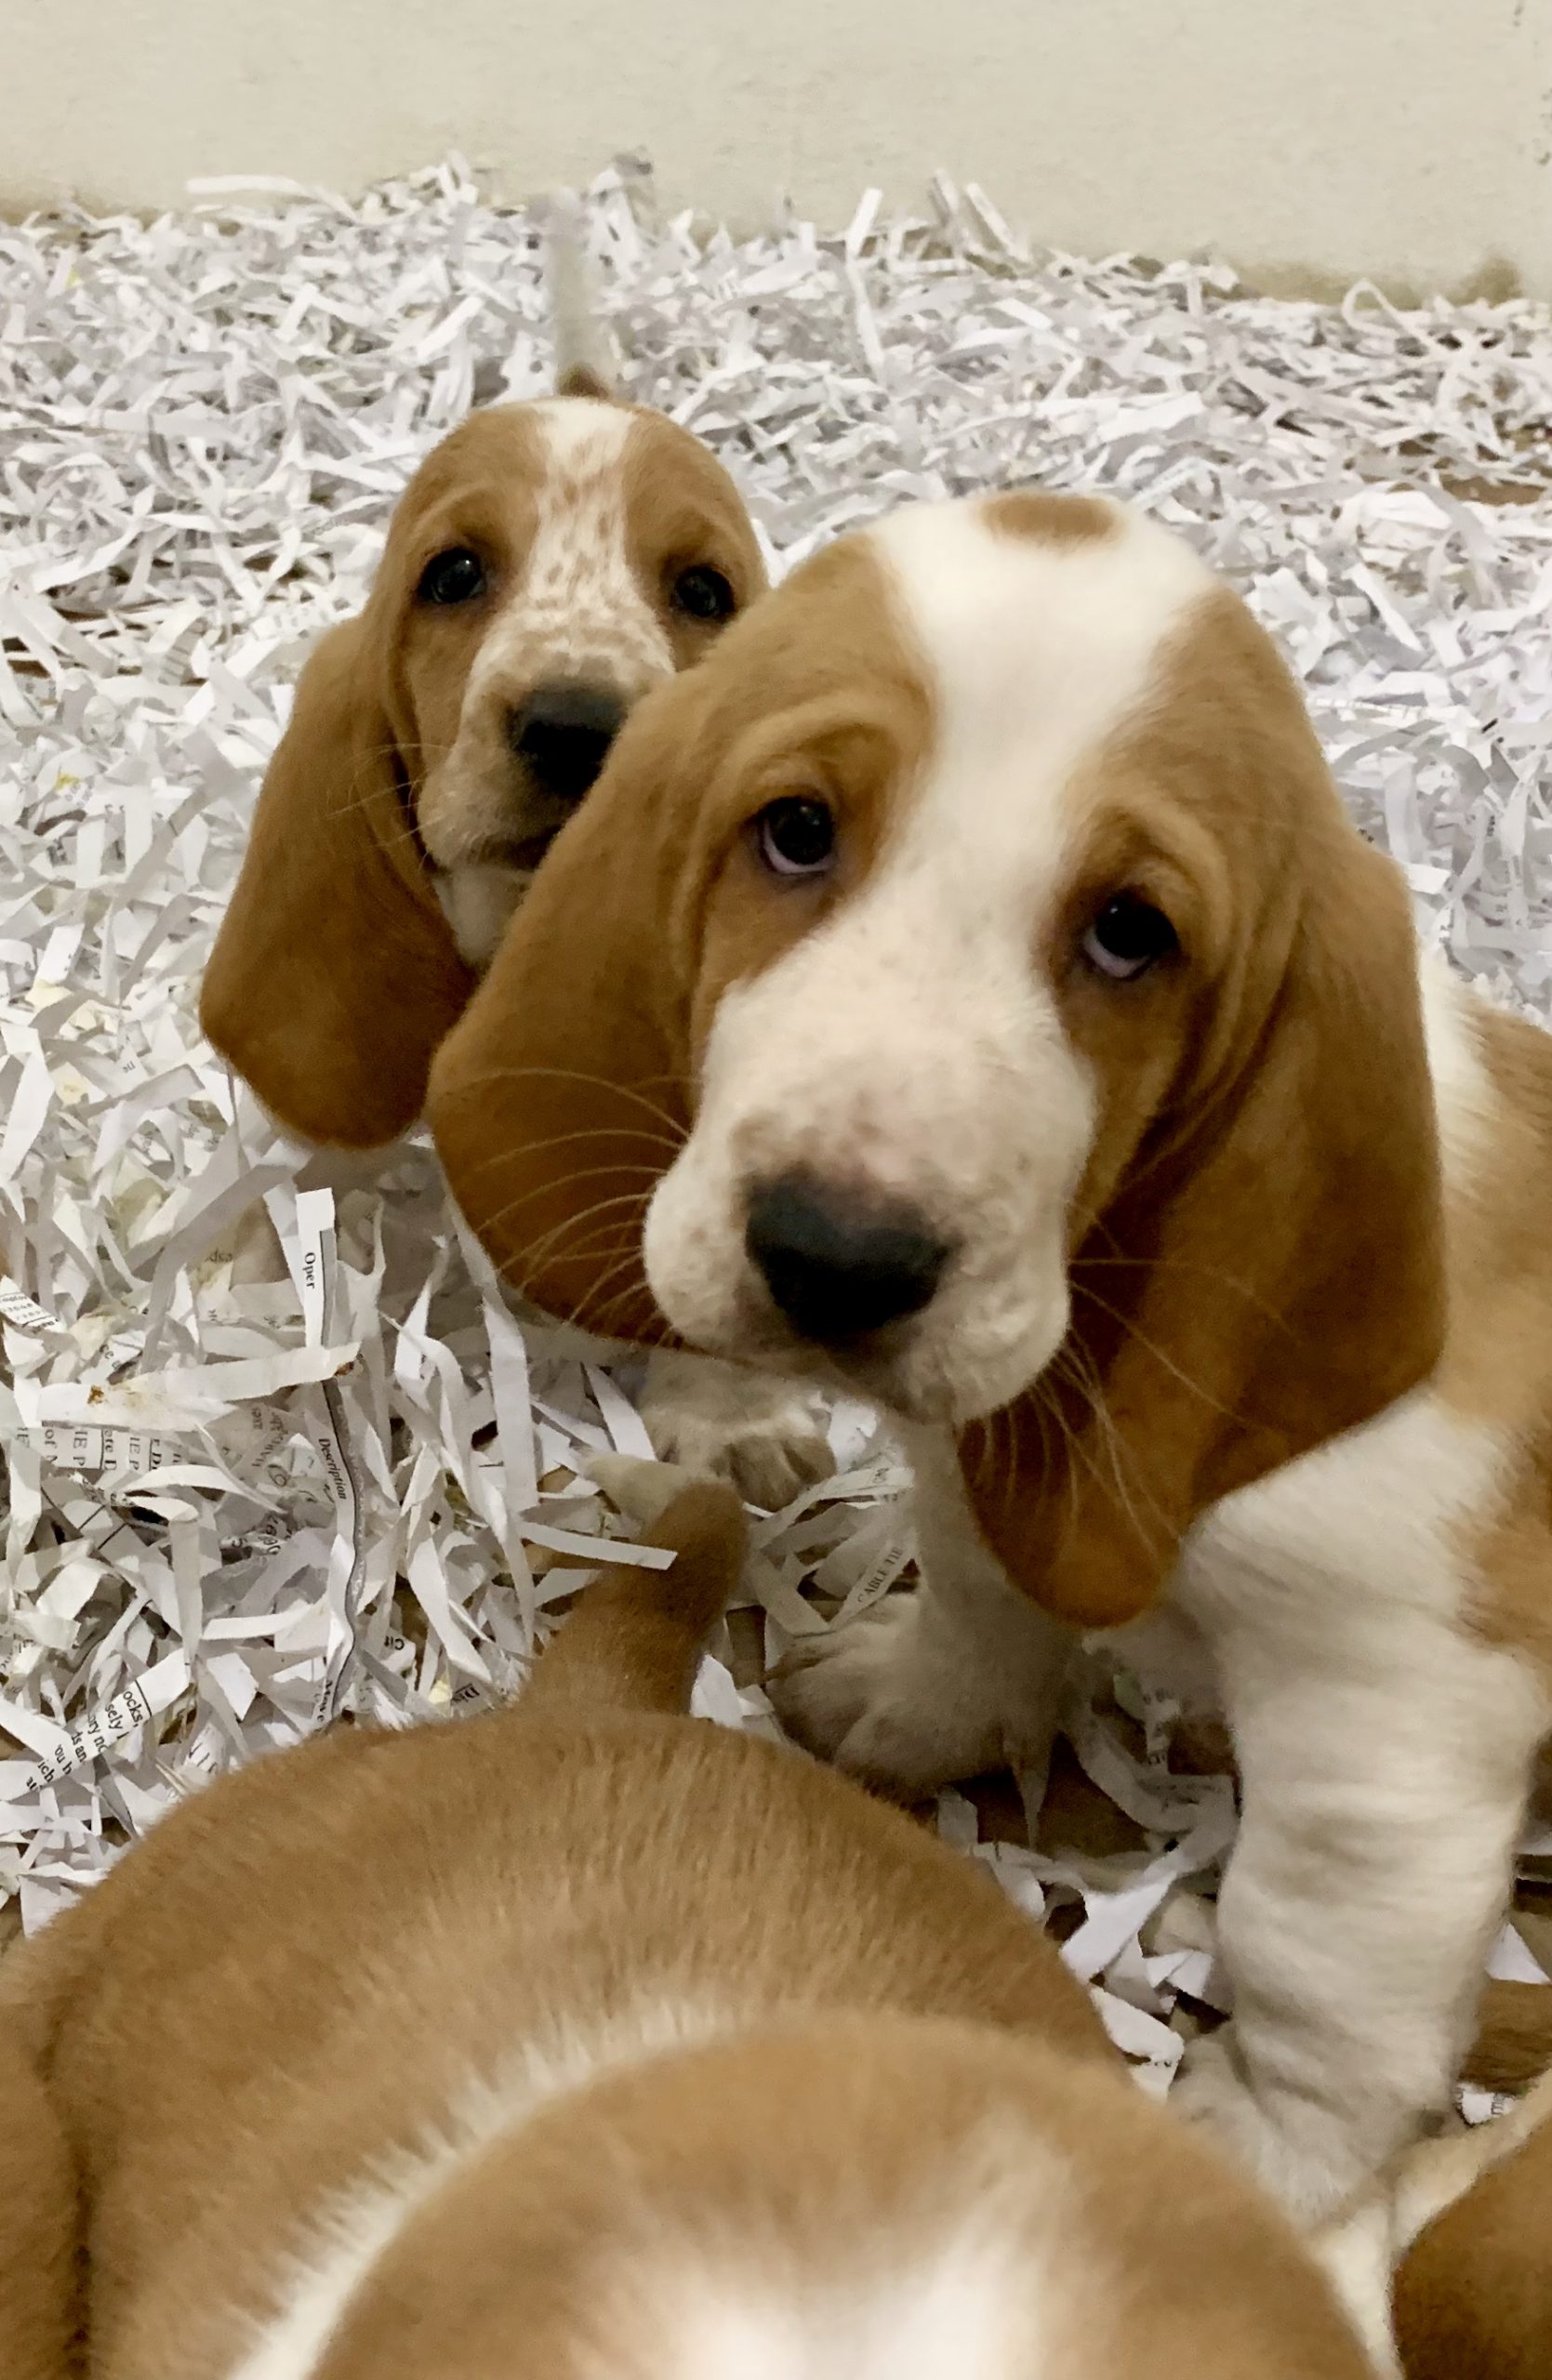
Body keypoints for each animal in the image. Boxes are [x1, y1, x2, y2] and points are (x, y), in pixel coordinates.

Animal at [421, 492, 1552, 2237]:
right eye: (794, 832)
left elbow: (1316, 1969)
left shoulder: (1396, 1711)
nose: (833, 1257)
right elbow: (981, 1607)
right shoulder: (975, 1463)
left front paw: (1259, 2156)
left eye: (1129, 933)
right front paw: (908, 1706)